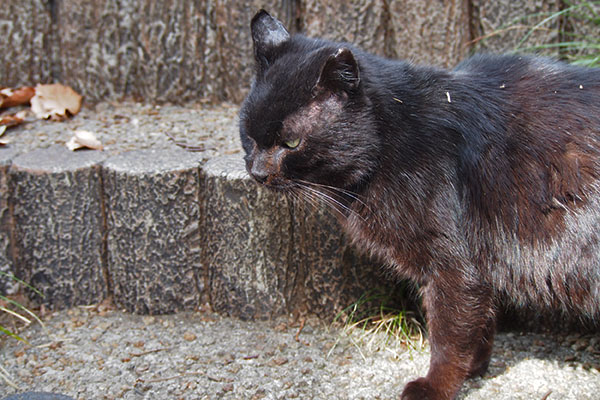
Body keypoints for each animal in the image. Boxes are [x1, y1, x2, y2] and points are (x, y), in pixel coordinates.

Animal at [239, 9, 600, 400]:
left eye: (291, 143)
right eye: (249, 134)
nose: (257, 172)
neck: (393, 139)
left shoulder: (454, 267)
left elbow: (448, 336)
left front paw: (435, 386)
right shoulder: (476, 273)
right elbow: (481, 323)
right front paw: (474, 370)